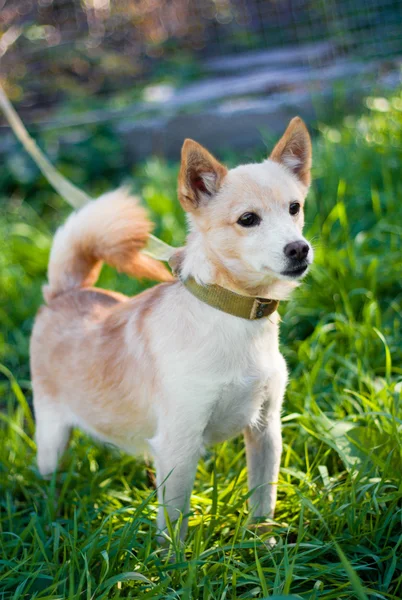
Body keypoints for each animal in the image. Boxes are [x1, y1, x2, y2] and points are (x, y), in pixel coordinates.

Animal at [30, 116, 314, 540]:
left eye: (295, 208)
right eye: (248, 220)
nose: (299, 248)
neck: (233, 314)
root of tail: (66, 291)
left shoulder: (266, 431)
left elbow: (263, 499)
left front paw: (262, 542)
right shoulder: (180, 446)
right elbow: (175, 523)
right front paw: (174, 559)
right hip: (51, 435)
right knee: (49, 473)